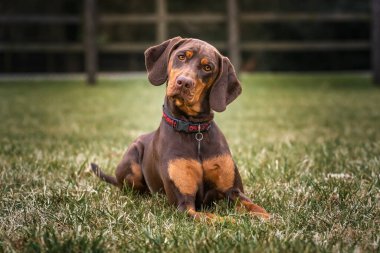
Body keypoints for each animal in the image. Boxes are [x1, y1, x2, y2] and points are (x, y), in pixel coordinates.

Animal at [91, 36, 270, 220]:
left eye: (207, 67)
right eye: (181, 56)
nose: (184, 82)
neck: (194, 129)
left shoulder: (234, 192)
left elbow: (258, 209)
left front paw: (269, 219)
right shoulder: (184, 204)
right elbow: (217, 219)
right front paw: (232, 221)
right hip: (132, 160)